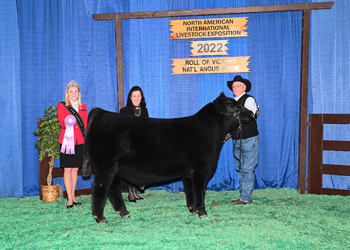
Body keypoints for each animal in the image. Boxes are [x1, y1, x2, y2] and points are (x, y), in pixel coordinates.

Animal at [83, 92, 254, 223]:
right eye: (234, 106)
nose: (252, 113)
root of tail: (101, 112)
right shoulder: (201, 170)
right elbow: (200, 191)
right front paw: (202, 212)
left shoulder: (188, 174)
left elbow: (190, 192)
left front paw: (192, 210)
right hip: (105, 168)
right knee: (99, 190)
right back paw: (100, 218)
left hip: (115, 170)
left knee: (113, 190)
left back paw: (124, 213)